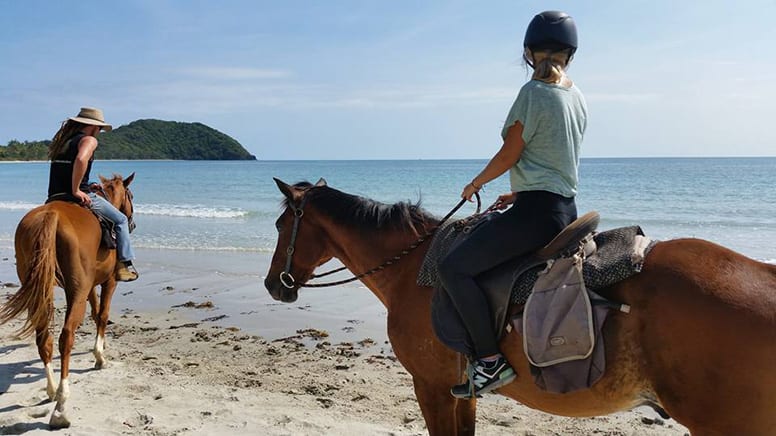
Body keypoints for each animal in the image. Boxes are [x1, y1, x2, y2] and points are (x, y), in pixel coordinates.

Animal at [0, 172, 136, 428]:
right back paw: (61, 407)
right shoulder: (108, 281)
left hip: (42, 291)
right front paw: (99, 357)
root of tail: (51, 215)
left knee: (44, 338)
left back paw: (52, 390)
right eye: (131, 195)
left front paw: (100, 348)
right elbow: (103, 314)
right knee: (66, 337)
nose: (131, 223)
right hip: (76, 292)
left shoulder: (89, 286)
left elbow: (95, 313)